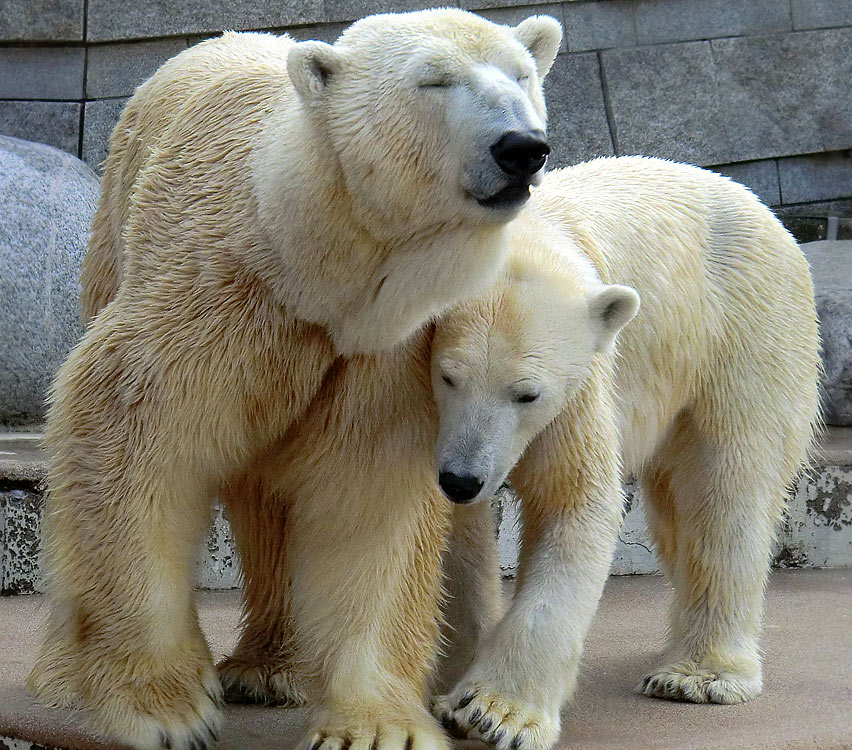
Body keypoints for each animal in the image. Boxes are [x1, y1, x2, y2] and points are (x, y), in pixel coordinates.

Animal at [30, 10, 564, 750]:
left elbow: (369, 495)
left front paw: (376, 726)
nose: (522, 148)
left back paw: (272, 668)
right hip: (110, 234)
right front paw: (165, 709)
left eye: (522, 74)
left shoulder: (387, 352)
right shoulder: (212, 298)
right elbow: (131, 432)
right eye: (434, 80)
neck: (314, 268)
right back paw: (62, 674)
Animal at [430, 156, 824, 748]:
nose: (463, 479)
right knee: (677, 513)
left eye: (527, 393)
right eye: (447, 375)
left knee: (725, 489)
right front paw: (448, 689)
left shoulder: (579, 387)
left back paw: (698, 675)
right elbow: (449, 536)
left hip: (746, 332)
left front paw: (496, 712)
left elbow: (574, 503)